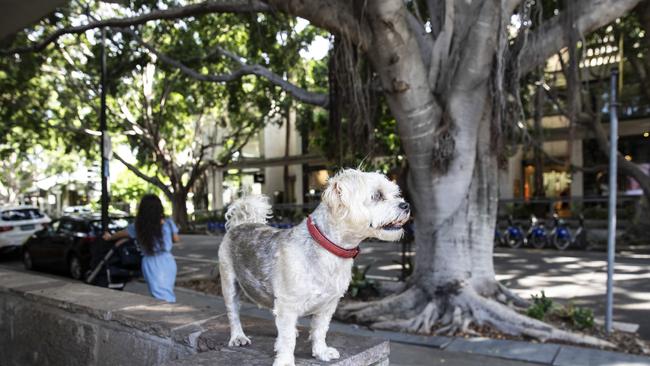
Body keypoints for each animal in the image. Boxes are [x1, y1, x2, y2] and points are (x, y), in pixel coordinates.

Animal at [220, 169, 408, 366]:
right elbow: (287, 339)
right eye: (377, 196)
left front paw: (321, 352)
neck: (328, 250)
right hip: (229, 285)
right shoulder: (287, 305)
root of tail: (241, 224)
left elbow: (319, 330)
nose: (406, 205)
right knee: (233, 314)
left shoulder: (327, 306)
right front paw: (285, 360)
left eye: (395, 194)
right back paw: (238, 336)